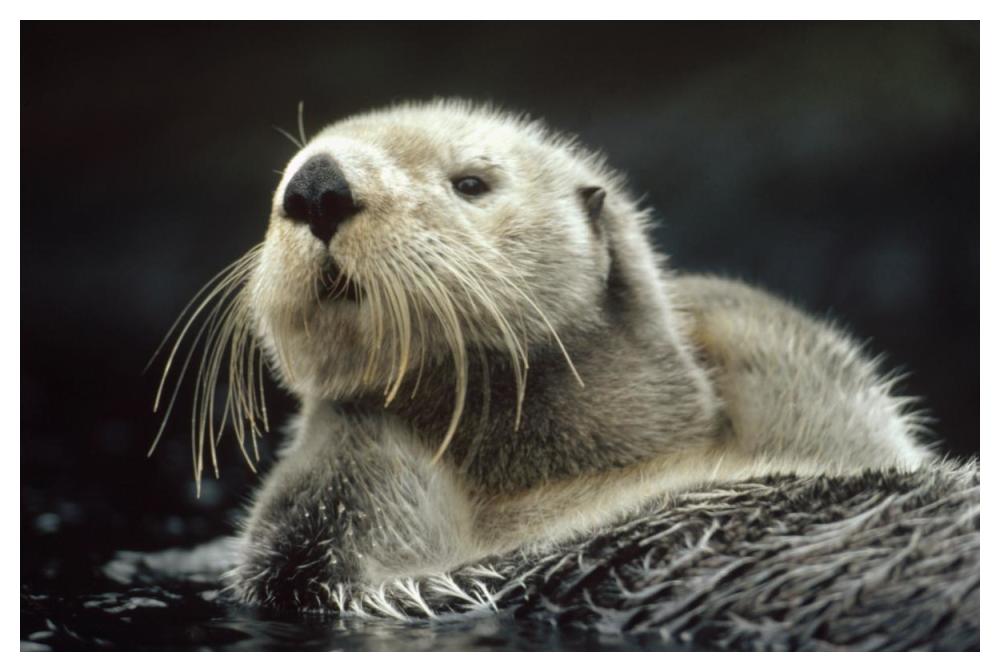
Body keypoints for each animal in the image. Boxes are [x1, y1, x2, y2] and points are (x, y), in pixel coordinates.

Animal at [152, 100, 931, 610]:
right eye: (284, 177)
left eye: (471, 182)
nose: (315, 185)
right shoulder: (345, 563)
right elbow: (312, 518)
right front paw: (349, 416)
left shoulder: (843, 428)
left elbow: (838, 388)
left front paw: (702, 300)